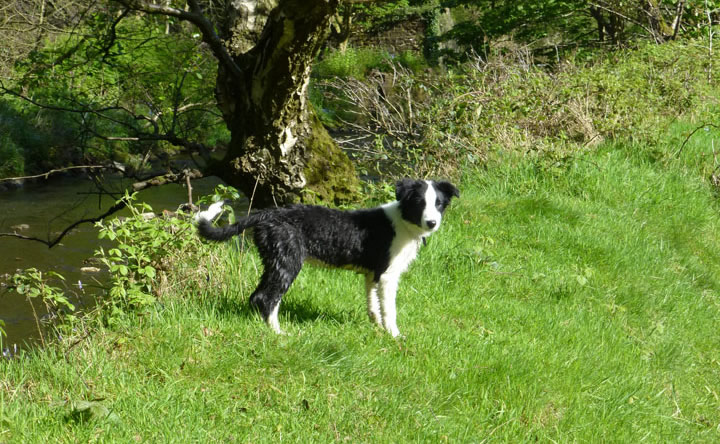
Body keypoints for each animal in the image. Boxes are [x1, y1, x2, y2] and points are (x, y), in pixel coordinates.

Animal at [194, 178, 458, 336]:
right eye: (419, 203)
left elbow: (373, 305)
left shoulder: (372, 274)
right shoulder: (387, 276)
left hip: (274, 260)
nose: (432, 223)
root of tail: (267, 214)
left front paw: (376, 327)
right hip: (288, 262)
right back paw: (279, 334)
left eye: (439, 203)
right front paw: (394, 336)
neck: (403, 221)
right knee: (267, 298)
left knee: (257, 296)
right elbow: (389, 310)